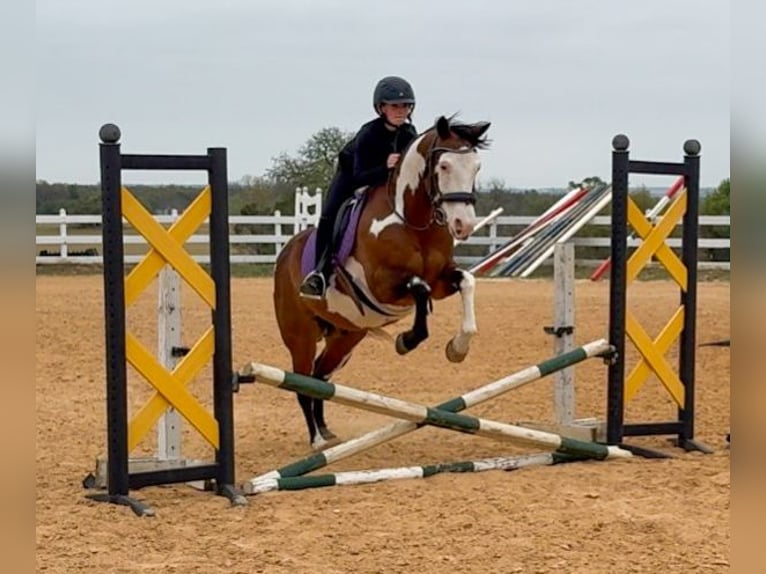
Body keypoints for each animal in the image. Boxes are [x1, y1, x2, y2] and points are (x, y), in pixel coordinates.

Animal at [273, 115, 491, 449]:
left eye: (476, 167)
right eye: (444, 166)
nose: (463, 225)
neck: (412, 220)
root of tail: (285, 253)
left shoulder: (442, 278)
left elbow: (466, 282)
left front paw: (457, 348)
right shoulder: (380, 286)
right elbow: (419, 288)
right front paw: (407, 340)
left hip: (346, 336)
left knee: (321, 377)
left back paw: (326, 432)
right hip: (301, 336)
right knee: (303, 382)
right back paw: (317, 441)